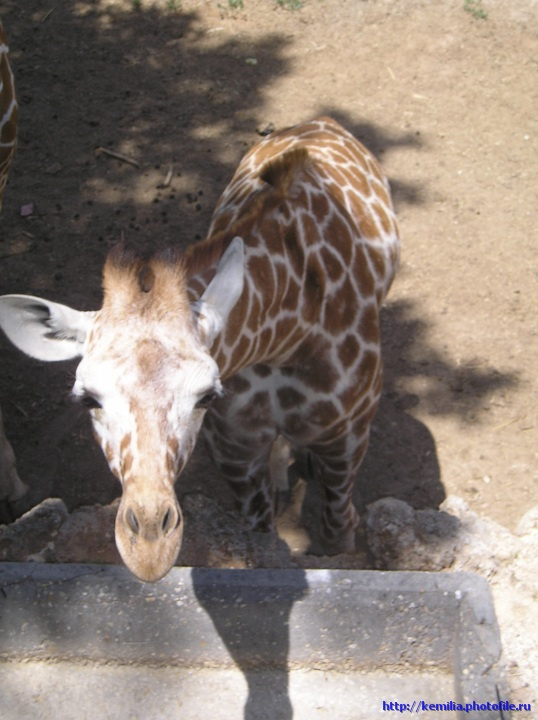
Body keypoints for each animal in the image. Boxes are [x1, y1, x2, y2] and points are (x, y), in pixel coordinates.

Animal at [0, 117, 400, 581]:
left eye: (207, 395)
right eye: (88, 399)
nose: (149, 550)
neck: (283, 338)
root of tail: (319, 122)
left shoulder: (346, 441)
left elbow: (339, 534)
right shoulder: (235, 452)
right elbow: (258, 537)